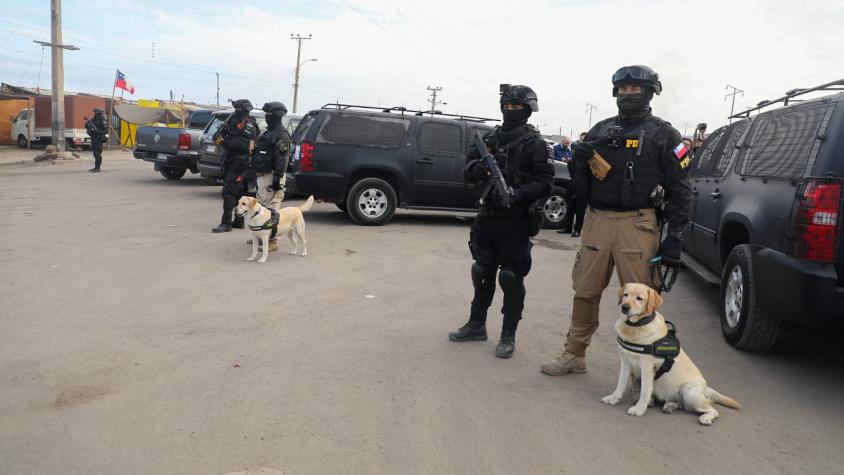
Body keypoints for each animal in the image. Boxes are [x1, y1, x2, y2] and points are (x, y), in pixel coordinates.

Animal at [600, 284, 740, 426]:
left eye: (639, 298)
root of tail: (705, 387)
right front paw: (613, 398)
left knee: (713, 409)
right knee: (681, 404)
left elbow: (644, 390)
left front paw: (639, 409)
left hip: (689, 392)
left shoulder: (647, 367)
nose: (624, 307)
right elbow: (621, 383)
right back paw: (670, 406)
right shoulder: (625, 361)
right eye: (626, 295)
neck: (636, 326)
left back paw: (706, 417)